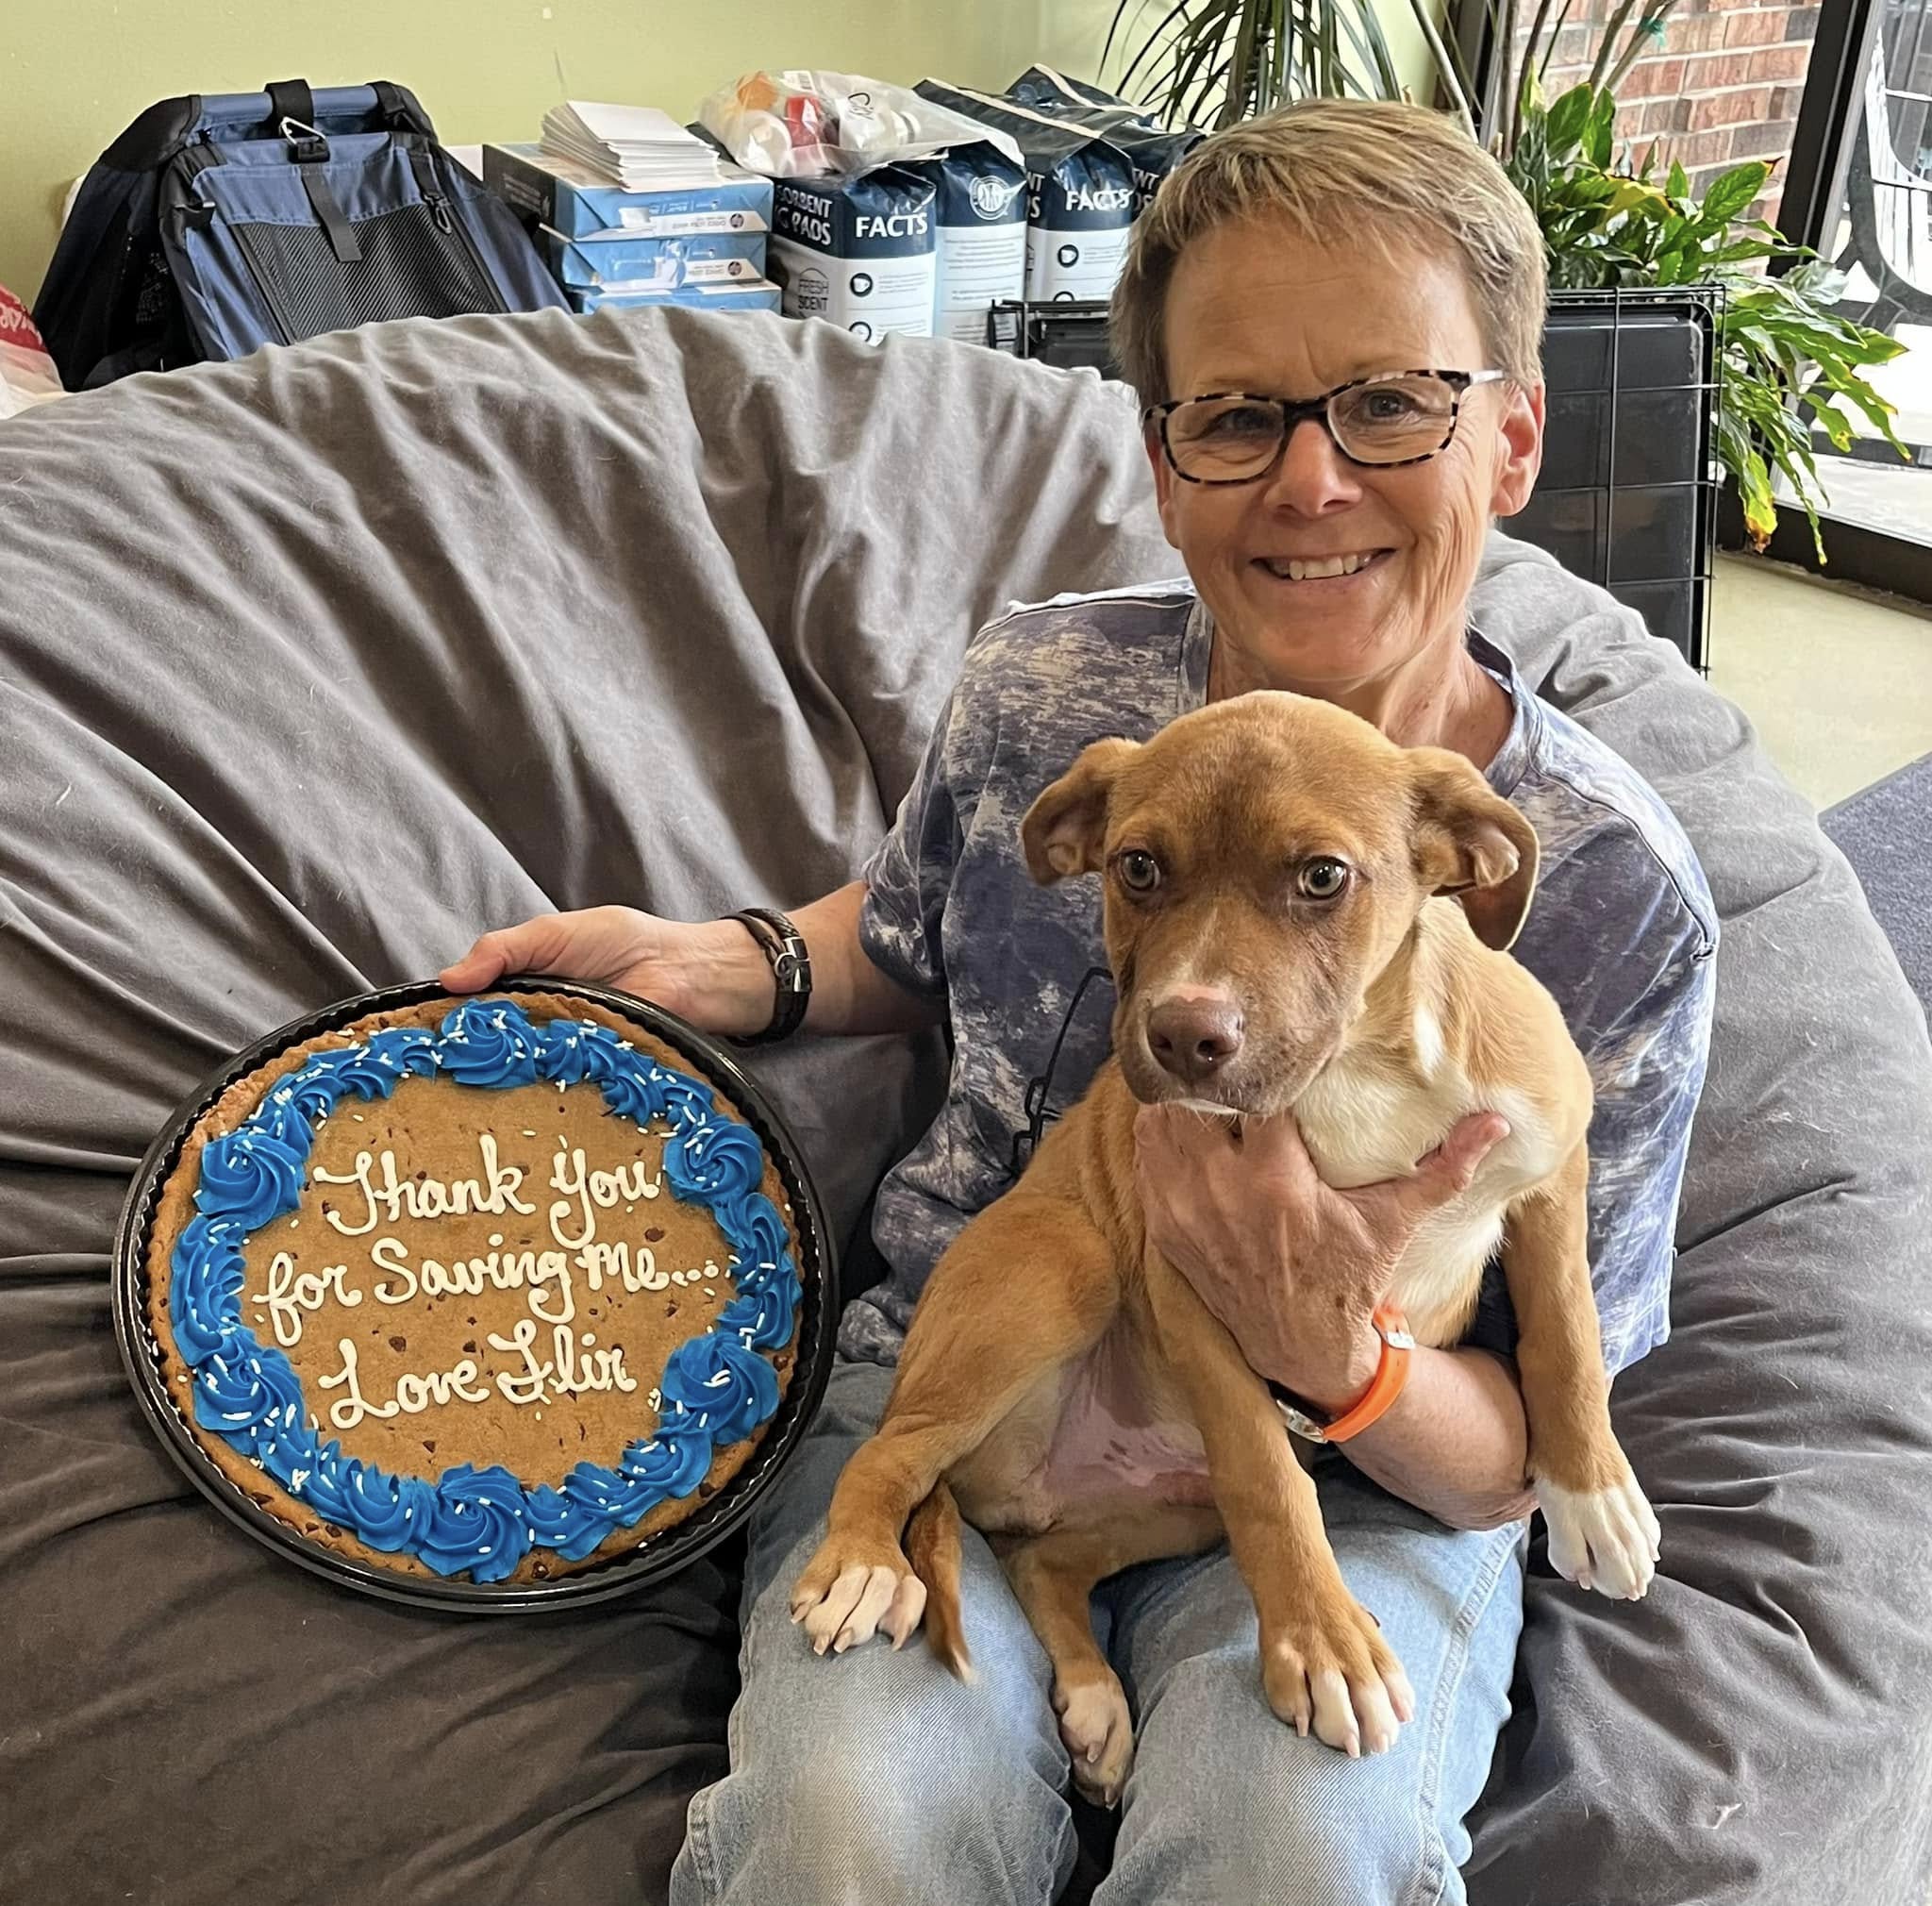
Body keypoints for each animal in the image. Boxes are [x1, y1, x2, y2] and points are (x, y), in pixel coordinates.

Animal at [784, 692, 1661, 1794]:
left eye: (1322, 876)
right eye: (1137, 867)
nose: (1184, 1037)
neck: (1355, 1073)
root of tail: (1009, 1493)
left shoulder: (1553, 1163)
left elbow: (1566, 1326)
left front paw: (1593, 1495)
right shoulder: (1195, 1279)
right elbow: (1270, 1480)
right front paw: (1324, 1649)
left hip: (1166, 1505)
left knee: (1043, 1559)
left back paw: (1092, 1700)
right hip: (1064, 1270)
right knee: (887, 1455)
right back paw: (861, 1566)